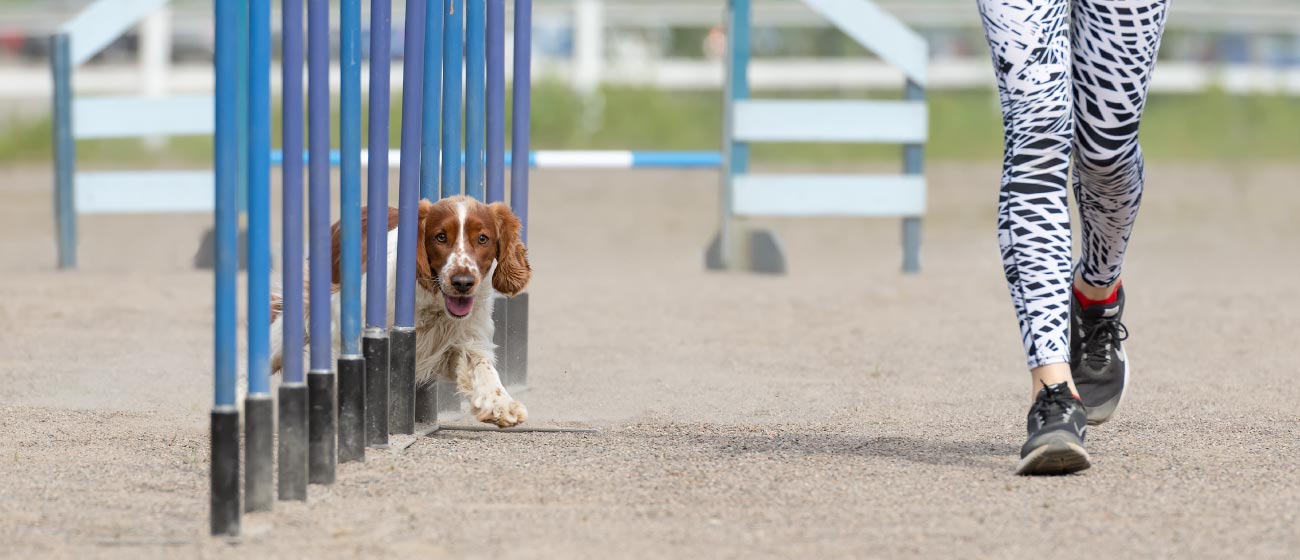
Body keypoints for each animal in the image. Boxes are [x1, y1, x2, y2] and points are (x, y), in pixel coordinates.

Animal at [266, 194, 530, 428]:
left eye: (483, 238)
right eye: (440, 237)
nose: (462, 282)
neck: (432, 302)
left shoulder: (466, 338)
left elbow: (482, 366)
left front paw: (501, 404)